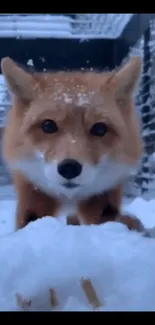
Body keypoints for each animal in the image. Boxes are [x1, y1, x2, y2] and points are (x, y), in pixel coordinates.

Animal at [0, 56, 144, 230]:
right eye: (48, 126)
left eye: (100, 129)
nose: (69, 168)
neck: (69, 198)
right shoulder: (31, 189)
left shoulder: (103, 195)